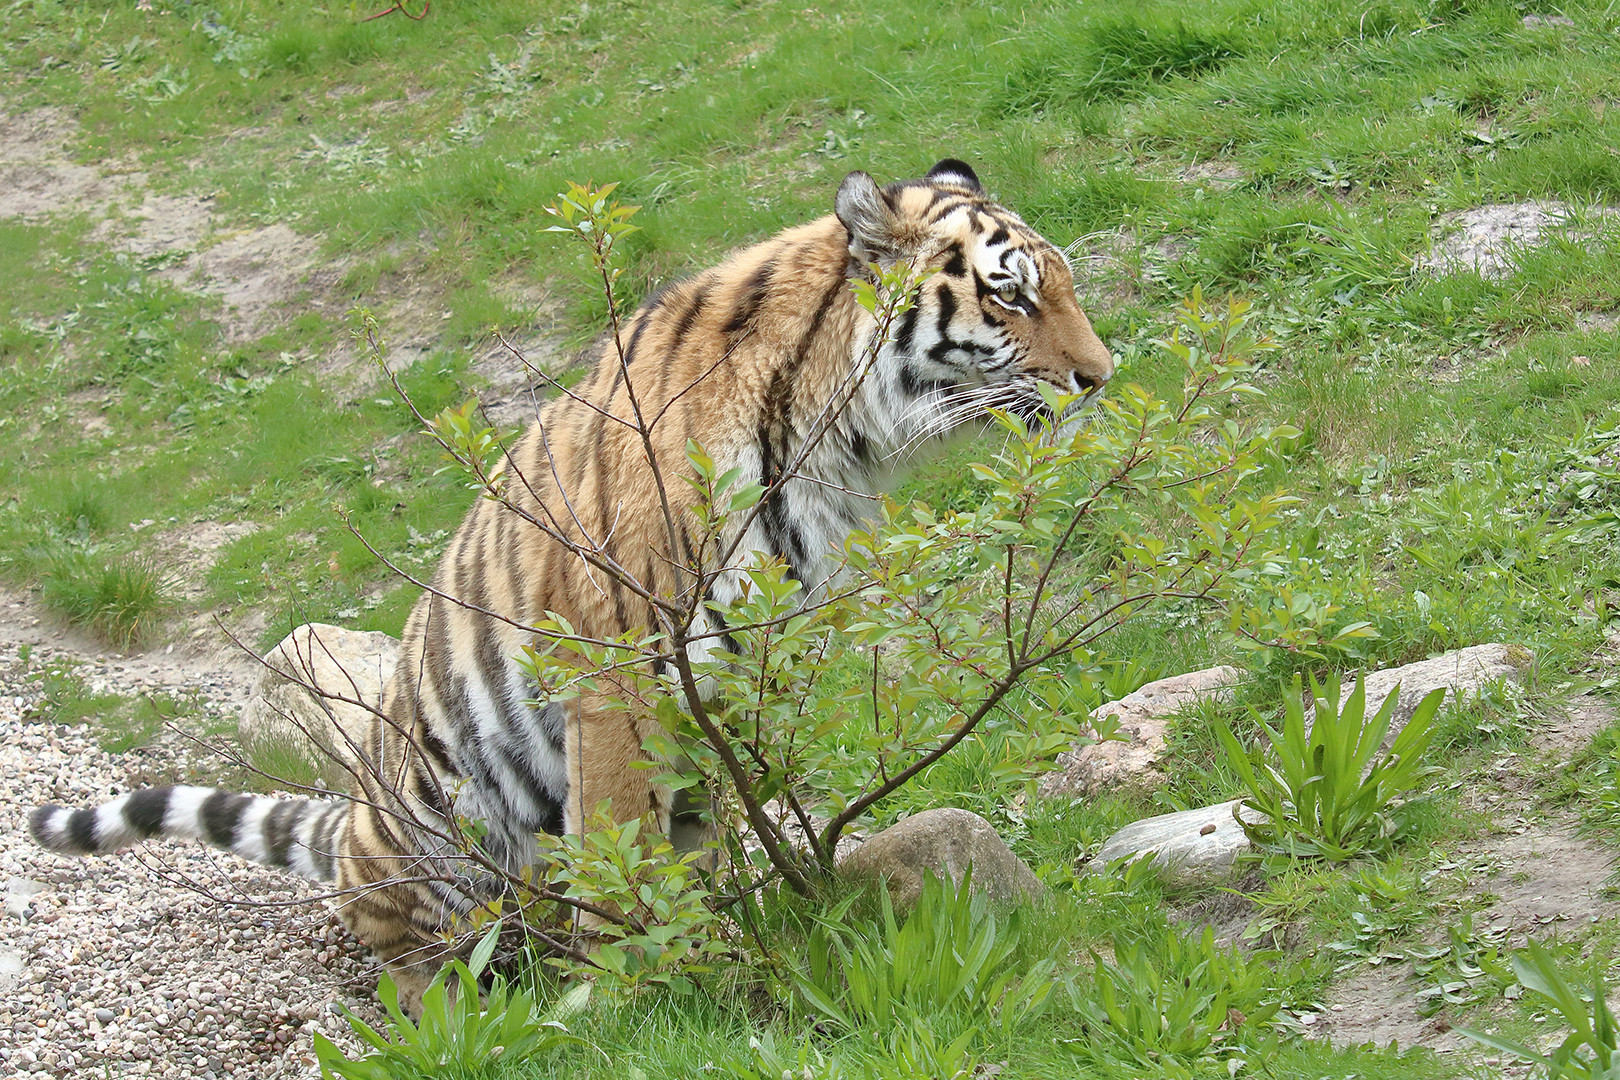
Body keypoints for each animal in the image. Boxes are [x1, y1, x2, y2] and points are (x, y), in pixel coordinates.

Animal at [28, 156, 1114, 1010]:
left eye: (1058, 286)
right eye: (1011, 296)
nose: (1100, 377)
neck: (836, 440)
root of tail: (349, 830)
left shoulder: (728, 677)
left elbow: (694, 847)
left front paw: (715, 963)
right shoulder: (624, 679)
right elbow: (629, 860)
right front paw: (644, 1004)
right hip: (445, 833)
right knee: (413, 960)